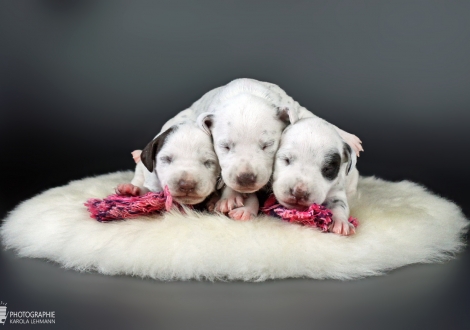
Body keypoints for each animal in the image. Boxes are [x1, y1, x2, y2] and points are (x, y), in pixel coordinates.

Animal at [193, 78, 362, 220]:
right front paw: (229, 197)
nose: (246, 178)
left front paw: (348, 137)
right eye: (225, 146)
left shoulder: (296, 108)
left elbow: (313, 116)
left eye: (267, 145)